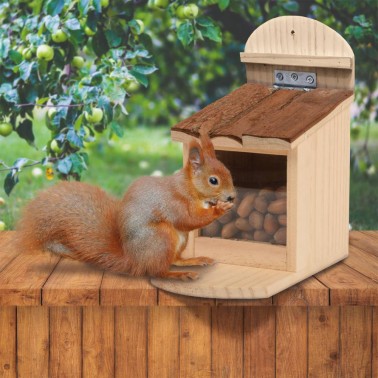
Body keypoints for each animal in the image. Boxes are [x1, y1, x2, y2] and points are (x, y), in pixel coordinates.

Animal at [18, 125, 236, 280]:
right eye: (213, 180)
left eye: (229, 171)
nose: (232, 196)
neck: (189, 188)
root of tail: (133, 261)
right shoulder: (174, 202)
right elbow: (189, 219)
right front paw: (220, 209)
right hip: (161, 237)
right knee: (157, 271)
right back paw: (179, 274)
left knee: (174, 260)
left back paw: (192, 261)